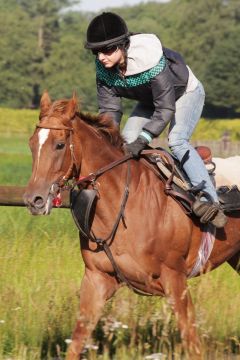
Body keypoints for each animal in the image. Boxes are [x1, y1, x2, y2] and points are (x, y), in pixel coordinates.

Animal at [23, 93, 240, 360]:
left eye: (60, 145)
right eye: (32, 144)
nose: (34, 199)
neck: (126, 204)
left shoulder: (176, 280)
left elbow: (192, 343)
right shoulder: (96, 279)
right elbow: (76, 341)